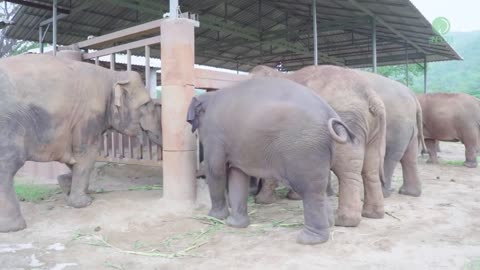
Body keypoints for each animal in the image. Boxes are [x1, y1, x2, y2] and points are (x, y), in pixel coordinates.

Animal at [0, 54, 161, 232]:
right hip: (8, 124)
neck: (113, 75)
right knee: (8, 165)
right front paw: (83, 203)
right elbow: (86, 153)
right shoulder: (88, 116)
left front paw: (65, 184)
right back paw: (14, 227)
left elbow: (75, 158)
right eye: (146, 104)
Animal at [188, 76, 356, 245]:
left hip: (304, 149)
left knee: (309, 189)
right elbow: (237, 176)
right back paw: (329, 224)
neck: (210, 96)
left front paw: (212, 218)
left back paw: (309, 239)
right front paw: (234, 224)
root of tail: (329, 112)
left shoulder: (214, 134)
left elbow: (215, 170)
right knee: (320, 188)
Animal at [251, 64, 386, 227]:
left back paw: (344, 221)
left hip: (344, 121)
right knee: (371, 166)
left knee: (347, 167)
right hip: (372, 129)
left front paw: (263, 201)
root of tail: (369, 94)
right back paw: (373, 214)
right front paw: (294, 197)